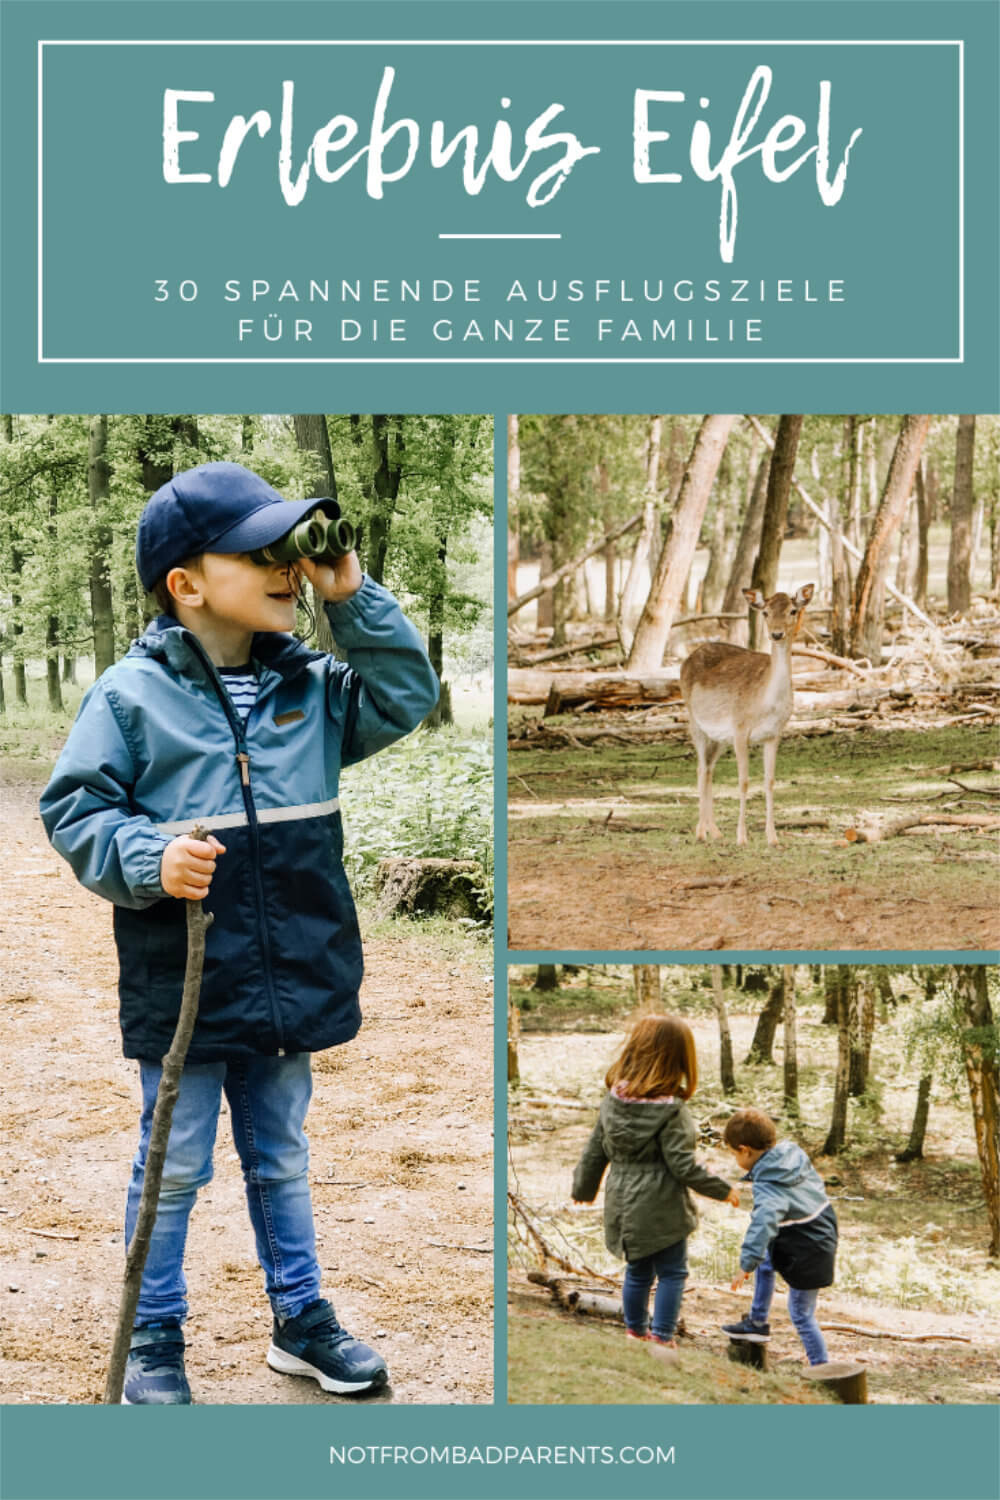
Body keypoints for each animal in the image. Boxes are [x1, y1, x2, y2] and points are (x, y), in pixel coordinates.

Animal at [680, 582, 815, 846]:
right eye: (765, 612)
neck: (765, 705)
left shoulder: (773, 734)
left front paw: (773, 838)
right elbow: (743, 782)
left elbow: (770, 782)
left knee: (709, 769)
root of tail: (686, 659)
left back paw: (715, 831)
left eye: (792, 610)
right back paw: (701, 832)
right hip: (695, 722)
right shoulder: (740, 729)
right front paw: (742, 838)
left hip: (719, 738)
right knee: (700, 769)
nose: (776, 634)